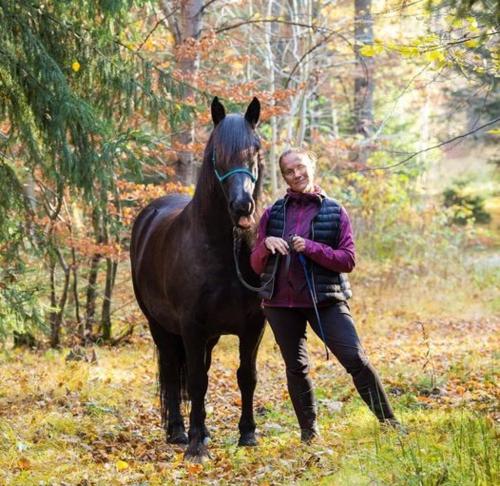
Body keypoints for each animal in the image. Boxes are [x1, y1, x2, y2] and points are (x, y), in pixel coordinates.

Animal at [131, 97, 268, 462]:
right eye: (217, 153)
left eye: (256, 149)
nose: (242, 206)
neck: (223, 250)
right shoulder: (191, 326)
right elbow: (193, 382)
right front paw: (195, 447)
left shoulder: (253, 325)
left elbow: (246, 376)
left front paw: (247, 434)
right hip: (160, 326)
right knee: (172, 371)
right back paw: (179, 431)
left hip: (210, 336)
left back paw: (203, 430)